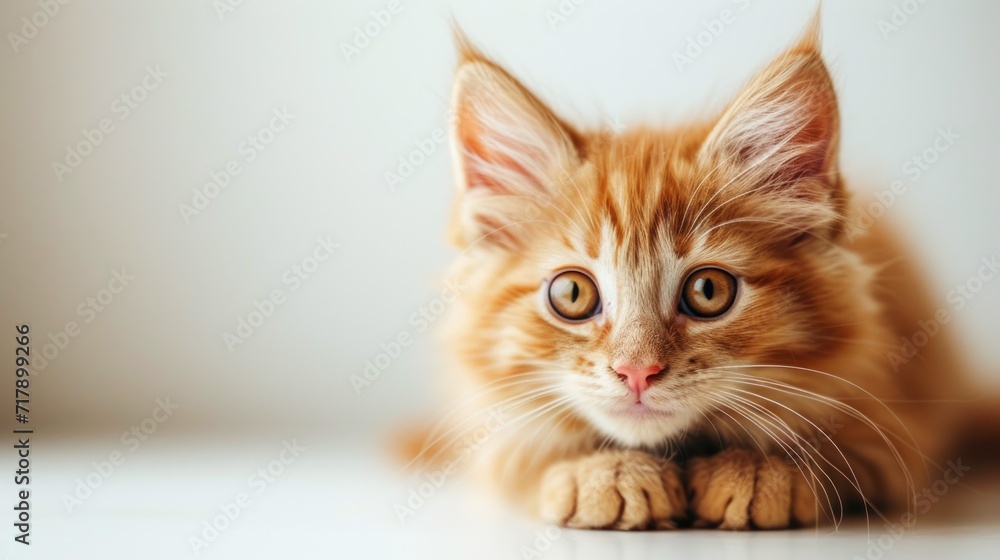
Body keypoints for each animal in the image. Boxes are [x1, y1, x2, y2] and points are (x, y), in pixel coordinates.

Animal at [414, 16, 968, 528]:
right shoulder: (491, 435)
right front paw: (603, 472)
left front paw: (756, 470)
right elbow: (522, 457)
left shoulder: (891, 422)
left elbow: (841, 450)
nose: (637, 372)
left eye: (708, 291)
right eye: (572, 294)